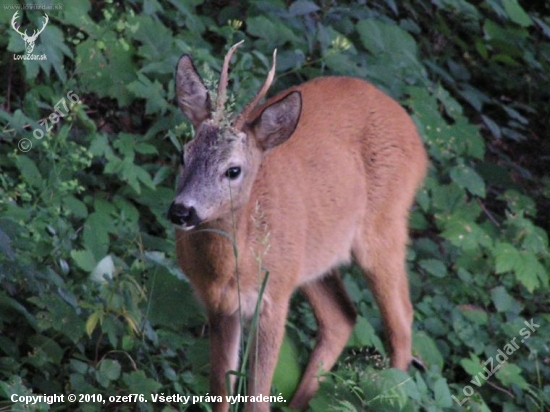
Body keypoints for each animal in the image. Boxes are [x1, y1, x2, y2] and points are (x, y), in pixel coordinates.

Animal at [169, 42, 432, 412]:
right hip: (313, 261)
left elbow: (257, 397)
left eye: (233, 170)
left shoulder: (273, 298)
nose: (182, 211)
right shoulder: (219, 306)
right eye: (184, 154)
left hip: (384, 227)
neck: (234, 265)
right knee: (342, 317)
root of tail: (417, 141)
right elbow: (220, 392)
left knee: (402, 320)